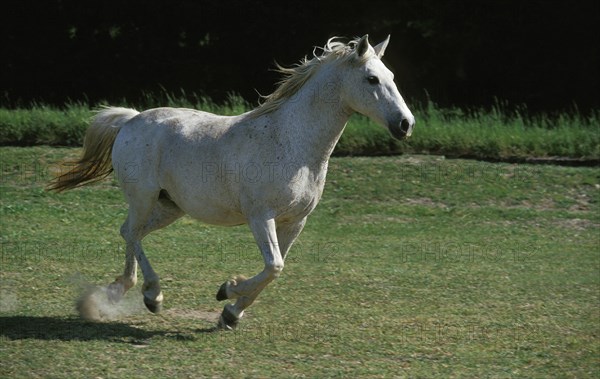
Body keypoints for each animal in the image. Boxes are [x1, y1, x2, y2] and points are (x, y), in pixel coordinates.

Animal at [49, 36, 414, 332]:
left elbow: (275, 270)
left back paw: (122, 294)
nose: (405, 124)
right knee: (133, 234)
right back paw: (151, 294)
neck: (291, 142)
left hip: (169, 207)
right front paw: (228, 290)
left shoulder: (295, 221)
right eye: (371, 79)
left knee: (129, 233)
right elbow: (273, 266)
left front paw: (230, 314)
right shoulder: (260, 216)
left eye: (393, 77)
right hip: (143, 197)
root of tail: (131, 119)